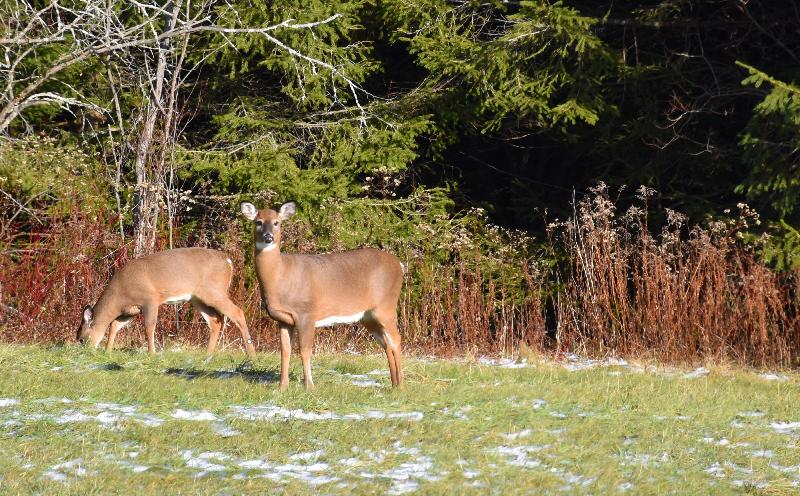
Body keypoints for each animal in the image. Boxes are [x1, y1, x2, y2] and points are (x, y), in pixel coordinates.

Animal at [76, 246, 255, 358]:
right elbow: (114, 325)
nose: (86, 352)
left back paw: (251, 355)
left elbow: (149, 326)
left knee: (237, 312)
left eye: (82, 339)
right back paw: (208, 354)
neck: (119, 295)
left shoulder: (150, 299)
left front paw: (152, 353)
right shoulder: (131, 310)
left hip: (214, 291)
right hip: (197, 298)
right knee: (215, 321)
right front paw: (108, 351)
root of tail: (228, 261)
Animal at [238, 203, 404, 390]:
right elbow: (285, 351)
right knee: (386, 343)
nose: (268, 237)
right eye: (258, 222)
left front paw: (309, 386)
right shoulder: (283, 319)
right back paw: (394, 384)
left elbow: (305, 351)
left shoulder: (306, 314)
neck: (280, 276)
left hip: (386, 306)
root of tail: (400, 265)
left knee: (396, 340)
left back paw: (401, 386)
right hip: (368, 316)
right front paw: (282, 386)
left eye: (276, 222)